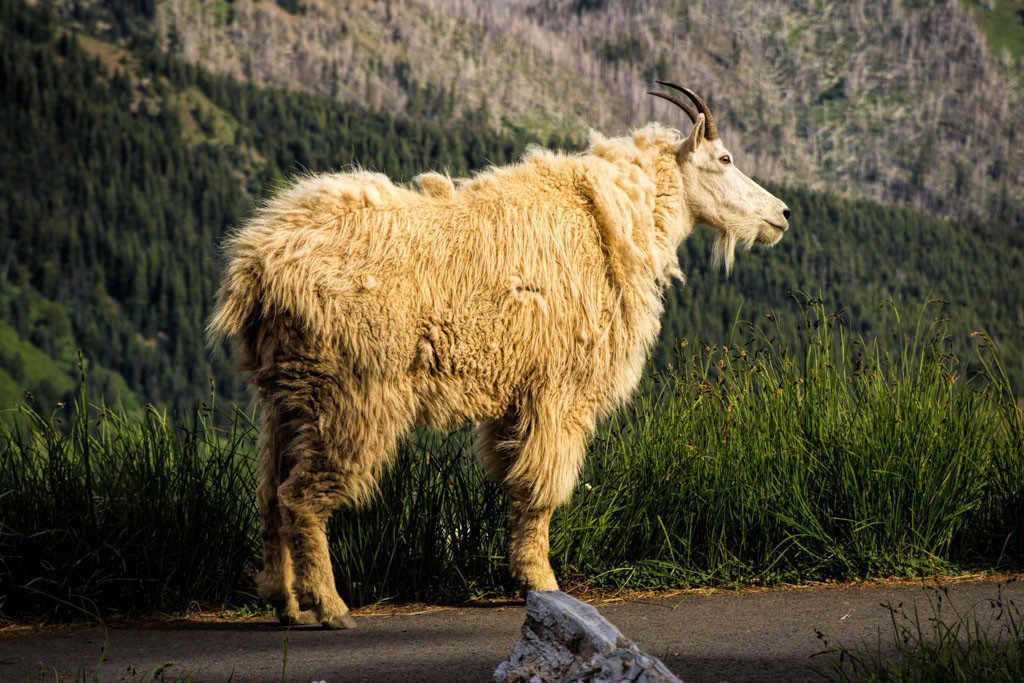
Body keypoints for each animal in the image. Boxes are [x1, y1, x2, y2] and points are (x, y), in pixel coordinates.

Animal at [205, 82, 782, 626]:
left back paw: (284, 602)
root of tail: (256, 268)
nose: (782, 214)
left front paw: (522, 574)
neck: (614, 218)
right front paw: (542, 581)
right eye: (725, 158)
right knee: (300, 496)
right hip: (348, 395)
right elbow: (540, 490)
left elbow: (515, 484)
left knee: (269, 493)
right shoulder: (558, 392)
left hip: (285, 394)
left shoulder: (515, 399)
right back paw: (329, 607)